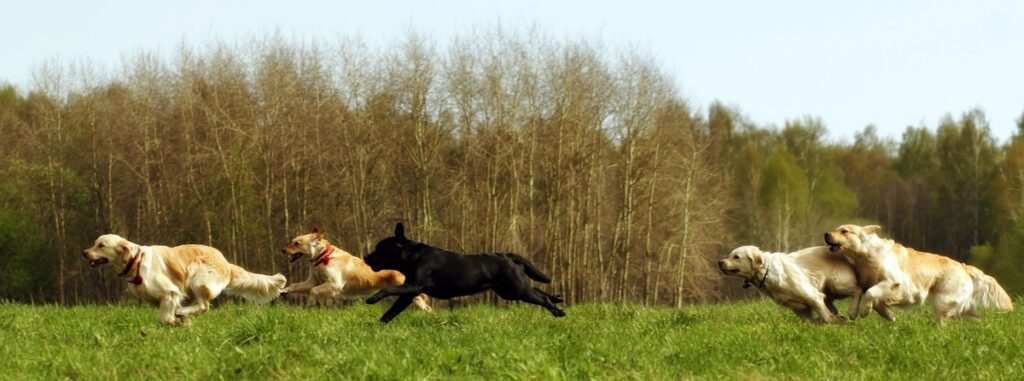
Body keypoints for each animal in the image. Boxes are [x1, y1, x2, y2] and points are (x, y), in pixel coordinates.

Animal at [80, 235, 284, 323]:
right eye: (95, 243)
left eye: (101, 245)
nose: (84, 252)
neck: (135, 262)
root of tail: (226, 263)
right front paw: (179, 320)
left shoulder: (170, 292)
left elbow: (166, 317)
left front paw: (175, 321)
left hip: (198, 278)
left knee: (204, 306)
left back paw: (183, 313)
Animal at [278, 227, 430, 311]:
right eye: (292, 241)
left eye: (297, 243)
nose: (282, 250)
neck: (323, 257)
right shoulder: (313, 281)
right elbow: (295, 285)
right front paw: (283, 291)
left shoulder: (335, 284)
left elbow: (313, 291)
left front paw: (309, 305)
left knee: (427, 308)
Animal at [362, 222, 569, 323]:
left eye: (379, 248)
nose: (365, 257)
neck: (412, 255)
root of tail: (507, 256)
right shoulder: (409, 292)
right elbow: (392, 311)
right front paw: (378, 325)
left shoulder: (413, 286)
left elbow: (388, 289)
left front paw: (372, 299)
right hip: (510, 290)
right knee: (539, 291)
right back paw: (557, 298)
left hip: (516, 289)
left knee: (541, 298)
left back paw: (558, 311)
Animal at [720, 245, 864, 323]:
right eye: (729, 255)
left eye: (736, 257)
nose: (719, 262)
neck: (766, 271)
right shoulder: (799, 308)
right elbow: (813, 320)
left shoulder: (812, 296)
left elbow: (825, 316)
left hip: (837, 283)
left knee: (858, 290)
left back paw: (852, 312)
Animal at [819, 224, 1011, 323]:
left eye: (844, 231)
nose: (826, 234)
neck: (866, 256)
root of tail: (964, 267)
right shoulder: (867, 282)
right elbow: (867, 294)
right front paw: (884, 315)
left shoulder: (895, 282)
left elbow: (871, 293)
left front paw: (866, 311)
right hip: (961, 306)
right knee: (975, 317)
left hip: (944, 301)